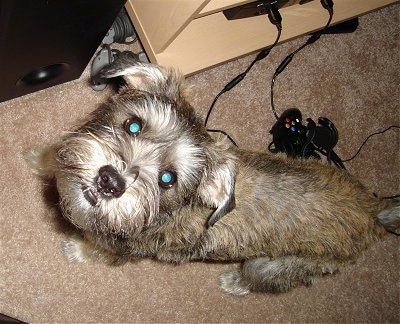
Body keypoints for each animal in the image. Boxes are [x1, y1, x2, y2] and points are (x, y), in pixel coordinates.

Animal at [24, 53, 400, 296]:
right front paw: (41, 158)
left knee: (261, 281)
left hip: (271, 266)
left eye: (167, 179)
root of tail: (374, 210)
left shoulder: (117, 251)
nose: (110, 181)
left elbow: (94, 251)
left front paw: (75, 249)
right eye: (133, 125)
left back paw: (234, 283)